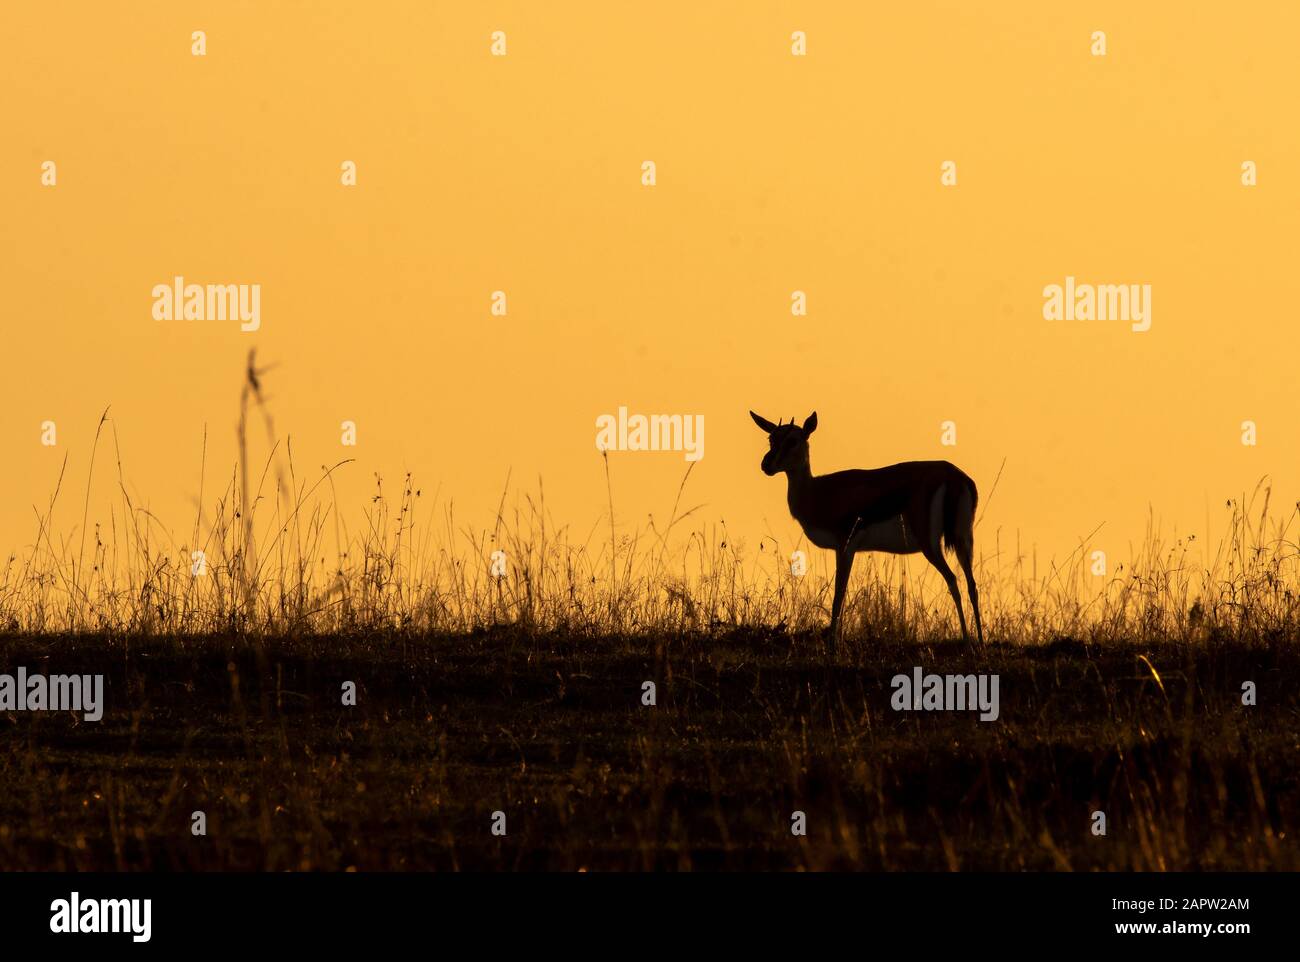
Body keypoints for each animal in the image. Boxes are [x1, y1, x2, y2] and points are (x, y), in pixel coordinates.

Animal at [750, 411, 983, 645]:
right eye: (771, 438)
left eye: (793, 440)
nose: (766, 464)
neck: (816, 492)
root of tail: (954, 477)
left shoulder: (846, 544)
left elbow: (839, 592)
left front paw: (833, 639)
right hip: (963, 540)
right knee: (971, 584)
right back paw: (979, 642)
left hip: (930, 544)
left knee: (952, 579)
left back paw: (967, 640)